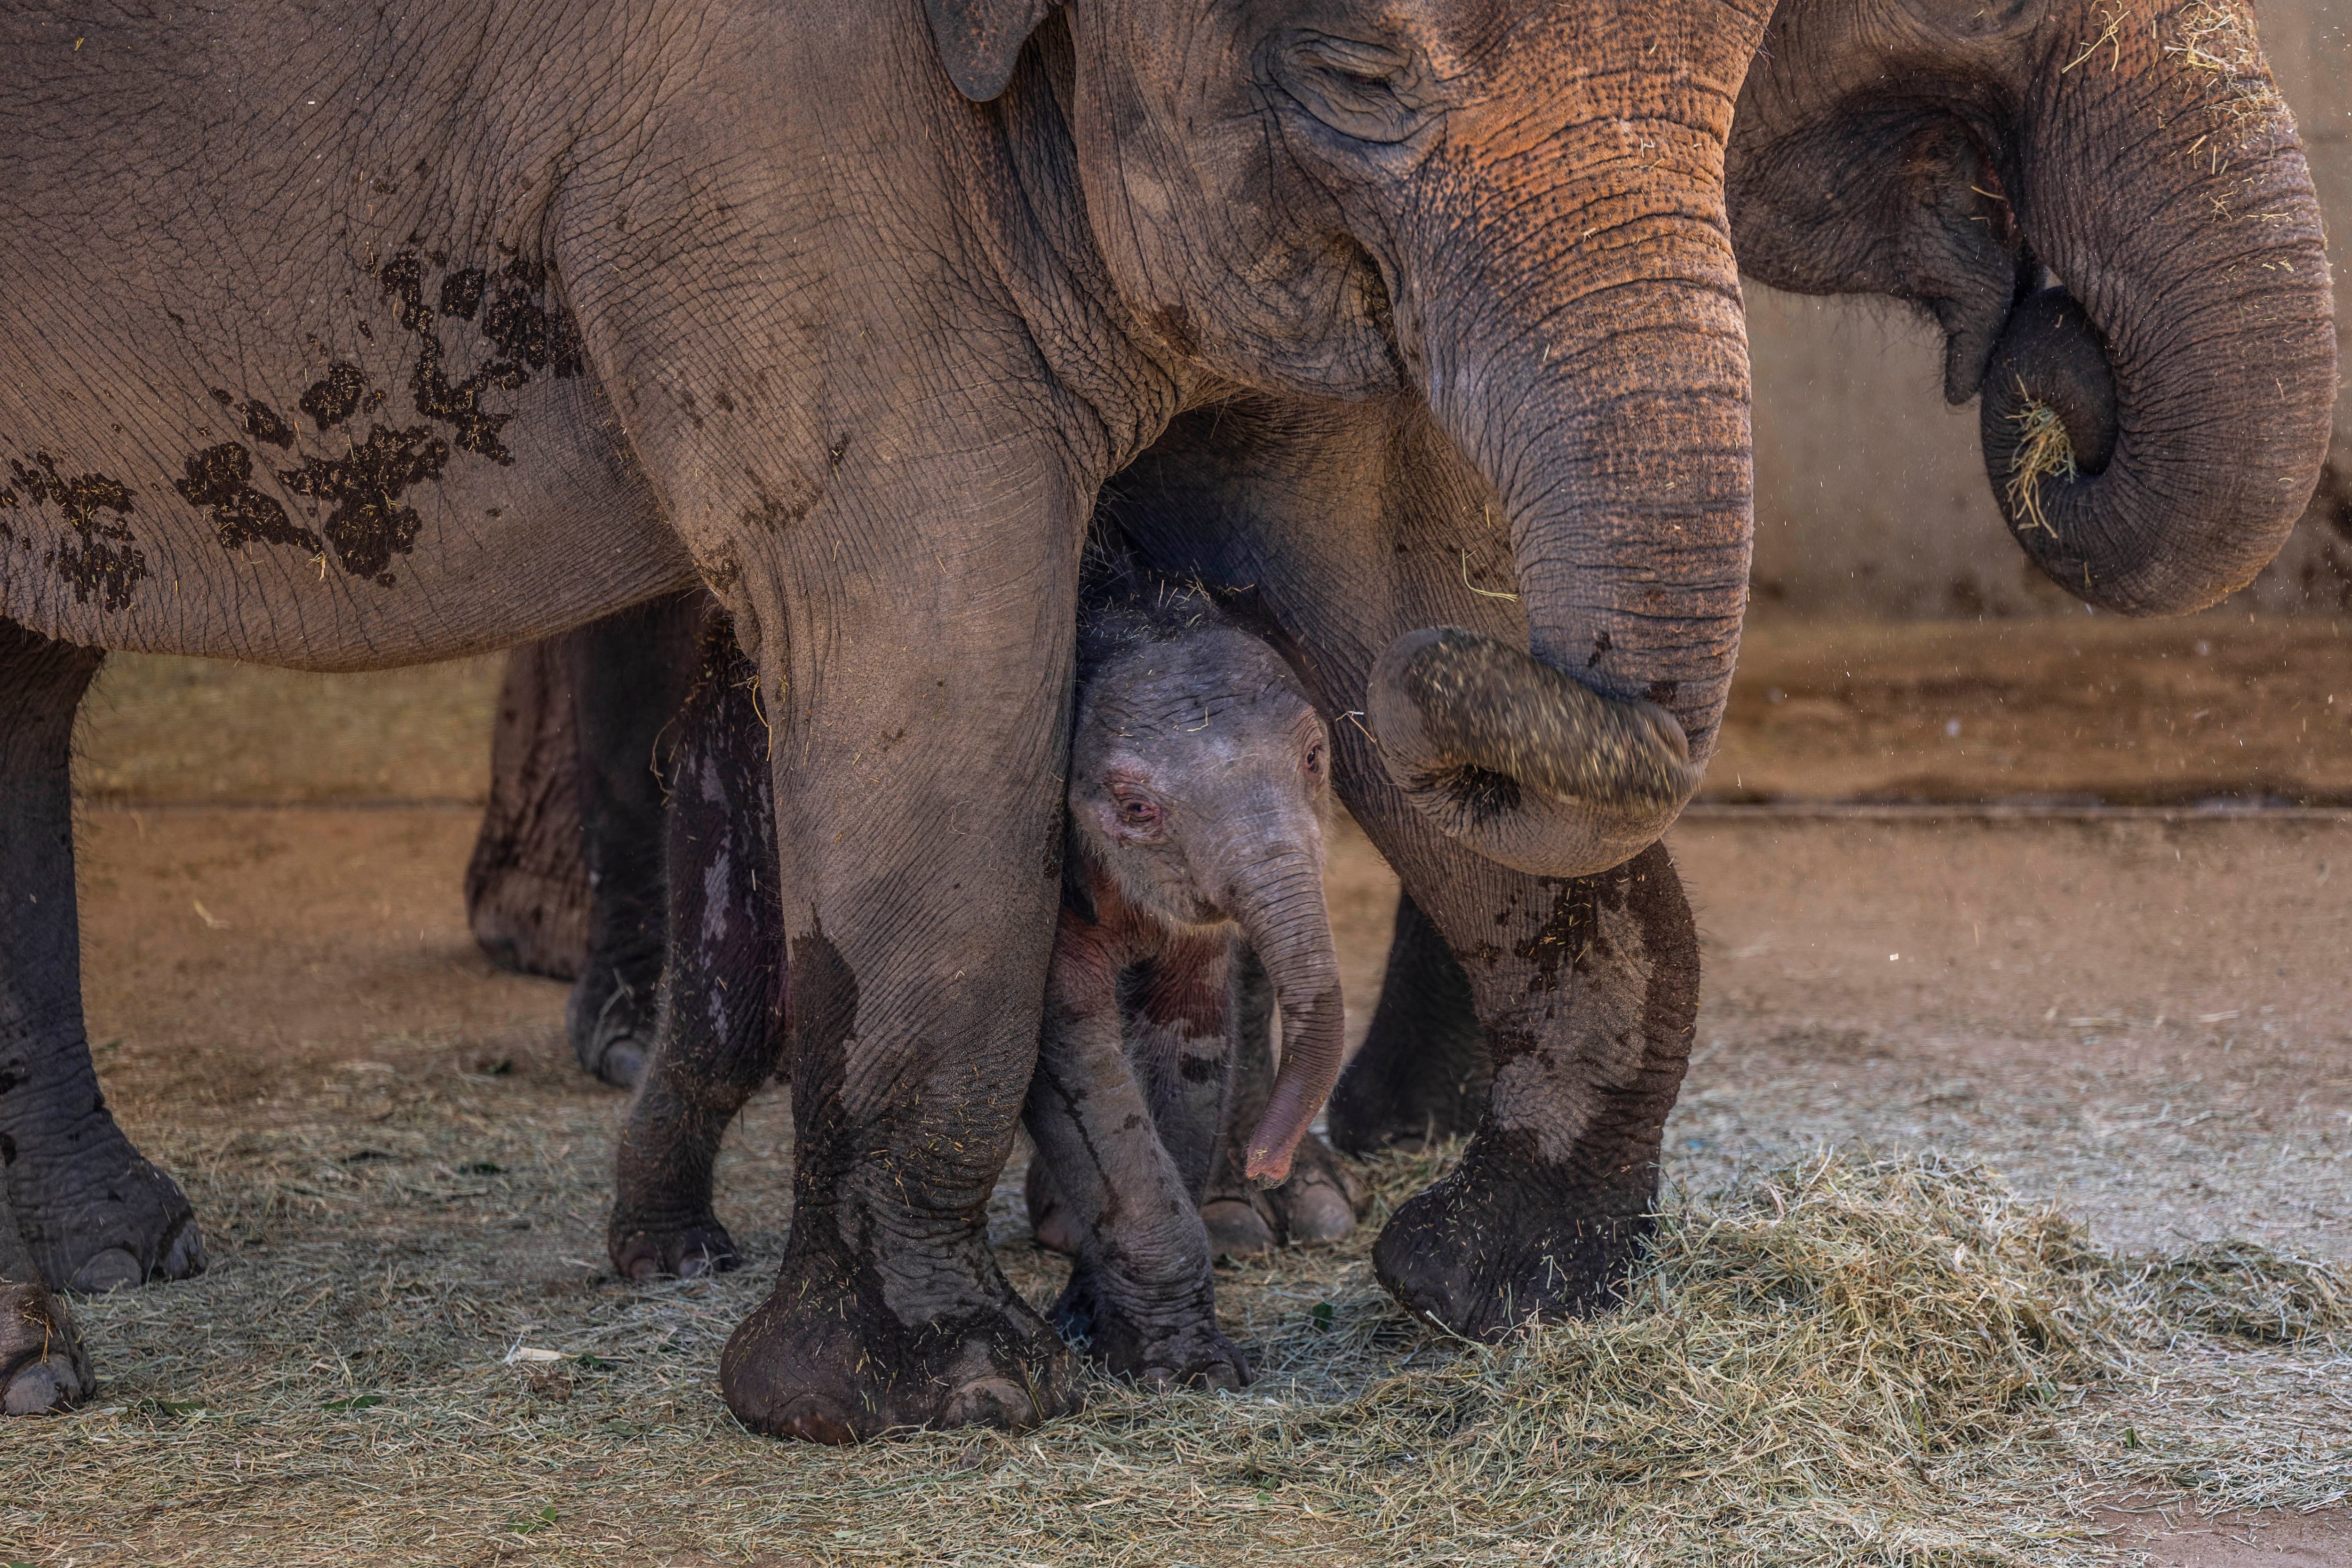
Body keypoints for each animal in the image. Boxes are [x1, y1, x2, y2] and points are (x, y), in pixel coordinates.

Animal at [0, 0, 1784, 1433]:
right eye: (1356, 74)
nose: (1457, 689)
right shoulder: (763, 131)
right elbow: (926, 619)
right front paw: (935, 1390)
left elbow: (1346, 549)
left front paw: (1488, 1290)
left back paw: (117, 1261)